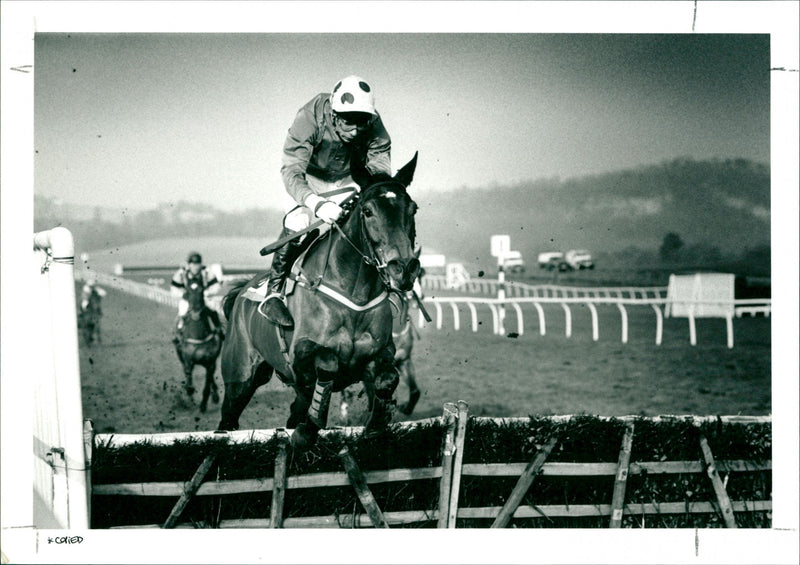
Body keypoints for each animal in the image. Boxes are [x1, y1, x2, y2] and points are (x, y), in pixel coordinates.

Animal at [174, 282, 223, 410]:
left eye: (202, 291)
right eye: (188, 290)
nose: (195, 312)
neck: (198, 335)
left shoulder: (210, 362)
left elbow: (208, 383)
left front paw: (204, 404)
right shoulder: (188, 360)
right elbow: (189, 382)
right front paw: (190, 394)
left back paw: (215, 396)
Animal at [216, 151, 422, 450]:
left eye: (412, 210)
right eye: (368, 211)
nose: (404, 268)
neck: (354, 296)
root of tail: (242, 290)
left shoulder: (381, 353)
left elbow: (388, 378)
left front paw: (376, 423)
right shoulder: (301, 357)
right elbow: (327, 362)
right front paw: (310, 428)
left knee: (294, 411)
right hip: (240, 378)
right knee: (227, 418)